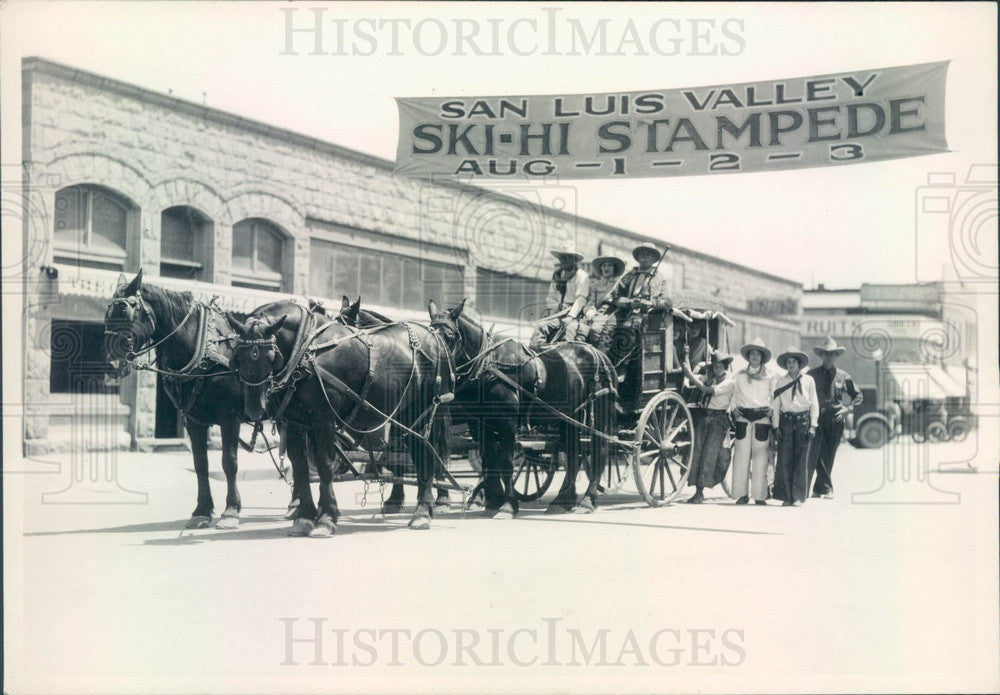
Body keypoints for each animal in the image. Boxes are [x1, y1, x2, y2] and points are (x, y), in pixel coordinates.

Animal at [102, 270, 304, 532]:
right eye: (107, 312)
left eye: (125, 311)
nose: (110, 364)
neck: (201, 351)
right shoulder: (194, 420)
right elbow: (200, 464)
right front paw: (202, 511)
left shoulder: (230, 418)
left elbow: (229, 462)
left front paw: (231, 510)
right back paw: (296, 503)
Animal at [227, 302, 454, 536]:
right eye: (236, 357)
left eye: (272, 356)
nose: (254, 408)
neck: (304, 351)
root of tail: (434, 335)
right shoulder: (294, 423)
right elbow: (300, 467)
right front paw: (304, 518)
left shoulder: (324, 421)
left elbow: (325, 465)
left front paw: (326, 518)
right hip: (405, 416)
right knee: (418, 453)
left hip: (424, 411)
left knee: (426, 454)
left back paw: (422, 512)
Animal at [424, 300, 612, 516]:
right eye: (429, 333)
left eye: (450, 336)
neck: (489, 365)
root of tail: (597, 353)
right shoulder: (479, 424)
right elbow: (490, 458)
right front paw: (493, 499)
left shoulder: (507, 422)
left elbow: (505, 461)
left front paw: (507, 505)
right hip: (568, 417)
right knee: (574, 452)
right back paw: (563, 500)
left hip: (597, 414)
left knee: (599, 451)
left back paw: (587, 500)